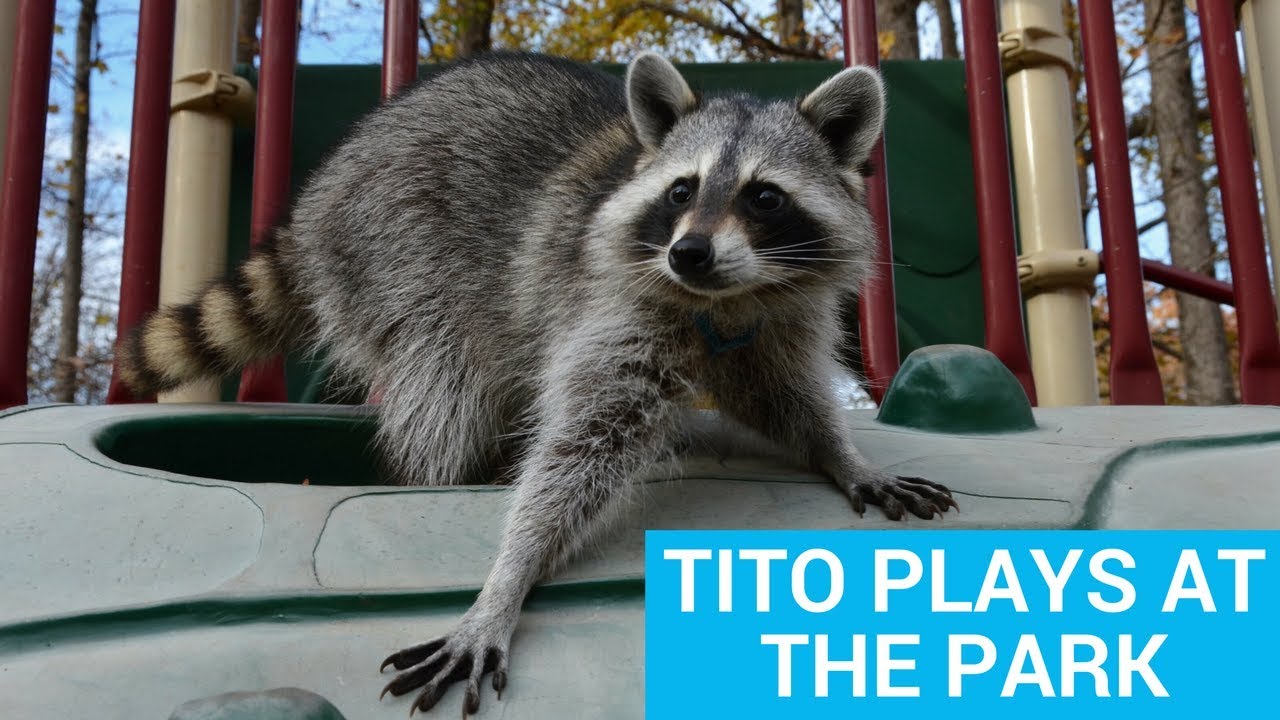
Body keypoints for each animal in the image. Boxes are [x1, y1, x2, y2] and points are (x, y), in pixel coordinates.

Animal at [118, 52, 955, 714]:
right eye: (681, 192)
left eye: (764, 196)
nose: (688, 254)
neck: (722, 300)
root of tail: (325, 185)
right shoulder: (614, 303)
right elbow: (575, 456)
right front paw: (506, 579)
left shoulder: (775, 319)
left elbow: (784, 399)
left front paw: (843, 454)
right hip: (395, 249)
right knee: (446, 381)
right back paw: (451, 473)